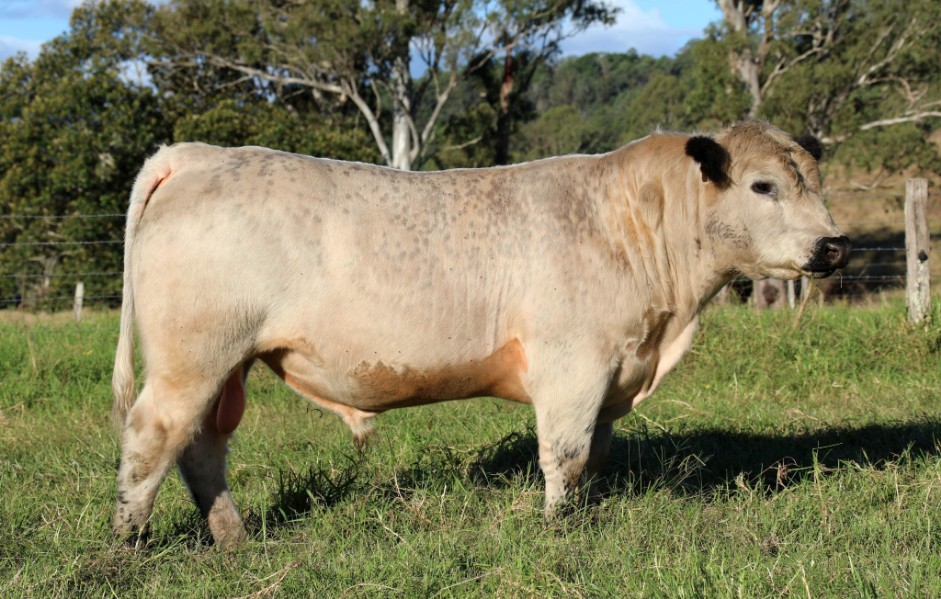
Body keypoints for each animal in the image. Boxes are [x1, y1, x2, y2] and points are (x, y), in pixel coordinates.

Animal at [111, 121, 850, 547]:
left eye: (815, 182)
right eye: (763, 186)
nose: (833, 245)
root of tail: (202, 154)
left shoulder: (614, 374)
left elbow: (595, 457)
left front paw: (582, 518)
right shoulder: (572, 367)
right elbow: (564, 455)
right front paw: (555, 530)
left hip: (223, 365)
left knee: (201, 447)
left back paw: (232, 539)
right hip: (192, 356)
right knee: (152, 436)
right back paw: (128, 545)